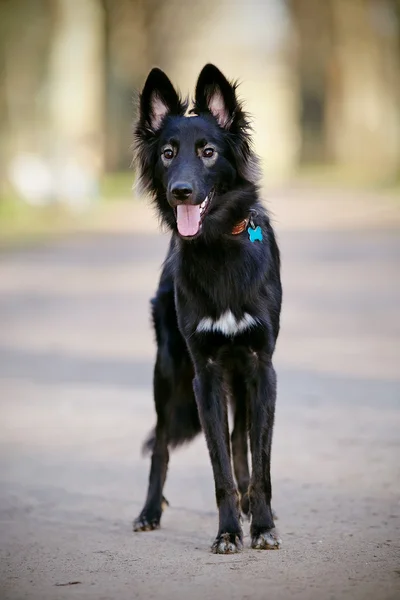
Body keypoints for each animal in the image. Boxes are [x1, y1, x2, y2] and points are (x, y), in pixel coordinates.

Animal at [132, 64, 282, 552]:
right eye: (167, 154)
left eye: (209, 152)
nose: (181, 191)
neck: (218, 245)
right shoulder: (206, 374)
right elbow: (218, 466)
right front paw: (229, 531)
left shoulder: (260, 366)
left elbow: (257, 457)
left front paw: (263, 525)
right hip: (167, 373)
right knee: (161, 444)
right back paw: (148, 511)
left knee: (241, 441)